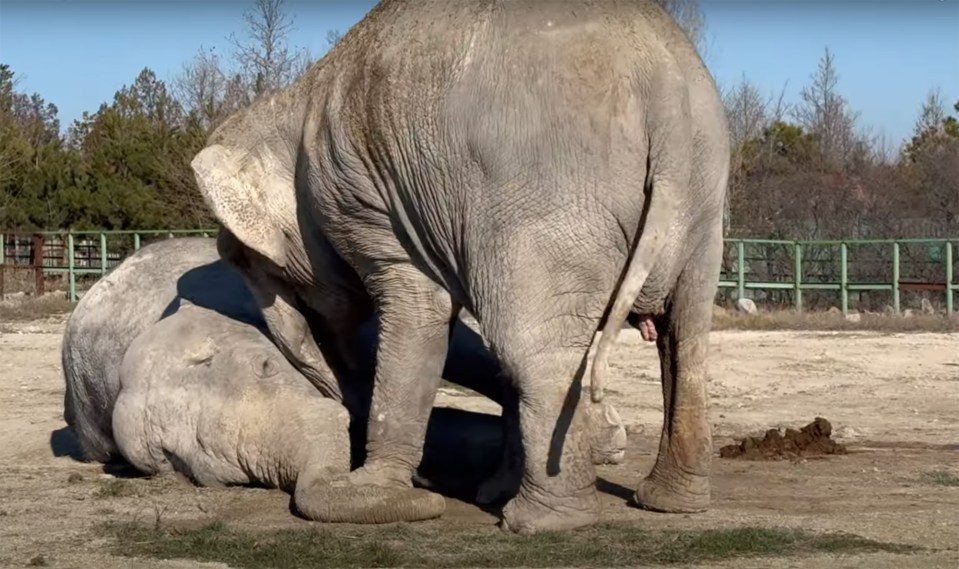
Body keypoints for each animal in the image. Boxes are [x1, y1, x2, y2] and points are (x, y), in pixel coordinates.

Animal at [191, 0, 732, 532]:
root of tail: (664, 91)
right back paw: (666, 502)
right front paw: (486, 490)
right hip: (703, 199)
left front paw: (376, 494)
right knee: (684, 336)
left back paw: (539, 521)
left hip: (543, 193)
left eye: (240, 261)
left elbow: (419, 311)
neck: (291, 97)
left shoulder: (365, 198)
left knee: (530, 345)